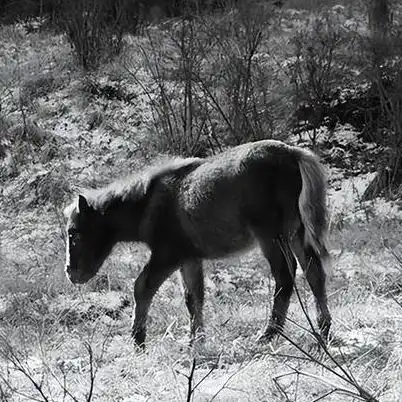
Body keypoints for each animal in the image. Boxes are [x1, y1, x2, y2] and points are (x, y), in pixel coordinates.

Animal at [64, 141, 332, 346]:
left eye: (73, 233)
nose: (71, 273)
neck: (148, 203)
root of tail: (293, 154)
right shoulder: (189, 258)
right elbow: (193, 298)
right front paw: (196, 341)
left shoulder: (167, 255)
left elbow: (142, 287)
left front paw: (138, 340)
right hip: (296, 232)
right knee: (313, 271)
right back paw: (323, 331)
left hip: (271, 236)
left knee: (285, 277)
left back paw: (268, 334)